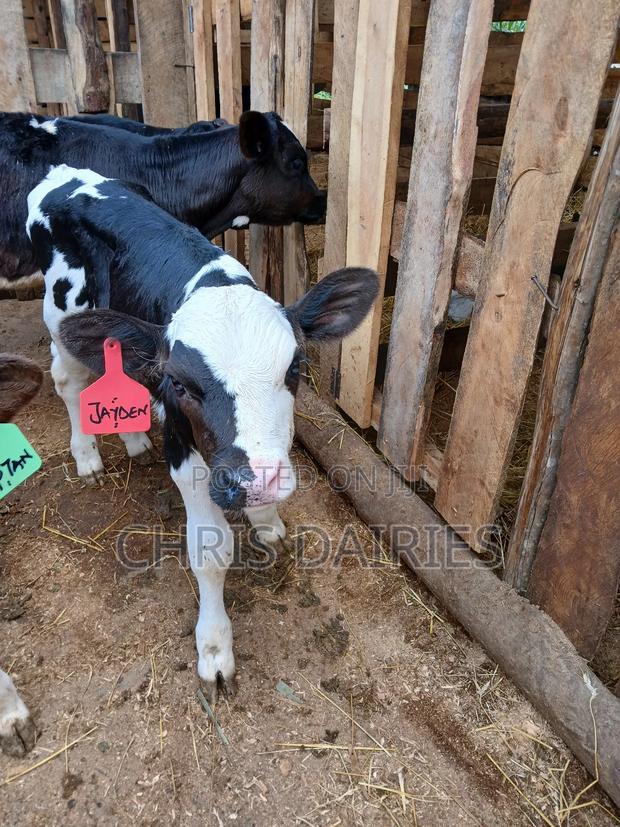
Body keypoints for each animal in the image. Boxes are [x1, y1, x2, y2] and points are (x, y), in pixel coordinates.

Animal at [26, 165, 378, 700]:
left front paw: (267, 520)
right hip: (61, 310)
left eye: (295, 368)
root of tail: (63, 171)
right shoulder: (186, 453)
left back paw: (134, 441)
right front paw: (214, 649)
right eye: (180, 384)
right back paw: (87, 456)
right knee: (69, 380)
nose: (254, 481)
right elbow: (211, 554)